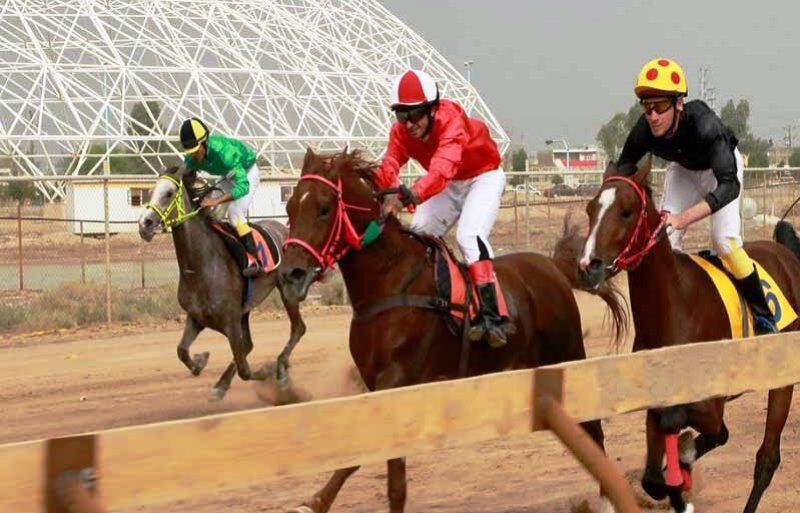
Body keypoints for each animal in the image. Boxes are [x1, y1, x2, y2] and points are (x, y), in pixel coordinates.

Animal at [138, 166, 306, 402]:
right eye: (151, 191)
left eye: (169, 193)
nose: (144, 224)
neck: (201, 266)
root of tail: (284, 228)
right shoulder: (196, 318)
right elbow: (182, 351)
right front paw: (201, 360)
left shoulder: (230, 322)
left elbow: (245, 370)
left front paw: (267, 370)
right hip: (245, 310)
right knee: (249, 344)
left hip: (287, 290)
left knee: (298, 328)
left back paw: (280, 370)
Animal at [278, 147, 628, 512]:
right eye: (290, 207)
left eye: (323, 208)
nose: (291, 273)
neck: (390, 282)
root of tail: (552, 266)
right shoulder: (374, 382)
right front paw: (316, 501)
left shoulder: (397, 380)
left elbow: (386, 471)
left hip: (568, 353)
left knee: (593, 428)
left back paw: (608, 499)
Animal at [564, 157, 800, 512]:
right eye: (591, 208)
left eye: (626, 212)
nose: (587, 266)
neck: (674, 307)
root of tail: (788, 257)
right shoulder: (657, 404)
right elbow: (652, 477)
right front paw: (679, 484)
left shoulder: (710, 406)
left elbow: (707, 433)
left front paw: (683, 469)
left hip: (782, 382)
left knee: (767, 459)